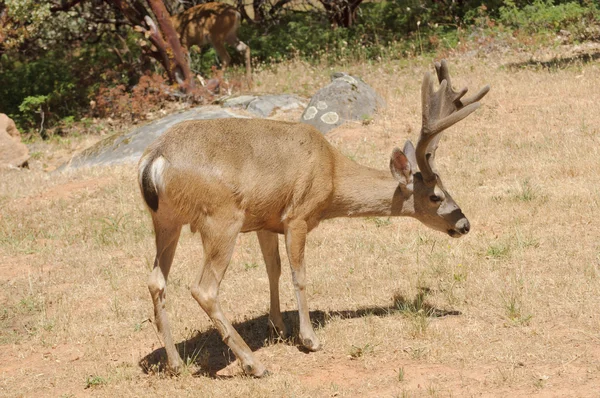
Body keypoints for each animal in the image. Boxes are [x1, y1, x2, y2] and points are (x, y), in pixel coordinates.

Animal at [138, 59, 490, 376]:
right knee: (204, 289)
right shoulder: (297, 215)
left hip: (166, 221)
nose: (464, 224)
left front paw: (278, 327)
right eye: (436, 196)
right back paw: (254, 364)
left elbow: (274, 269)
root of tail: (154, 160)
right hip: (221, 219)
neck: (332, 177)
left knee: (156, 281)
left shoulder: (265, 220)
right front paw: (308, 339)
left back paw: (175, 364)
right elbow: (300, 275)